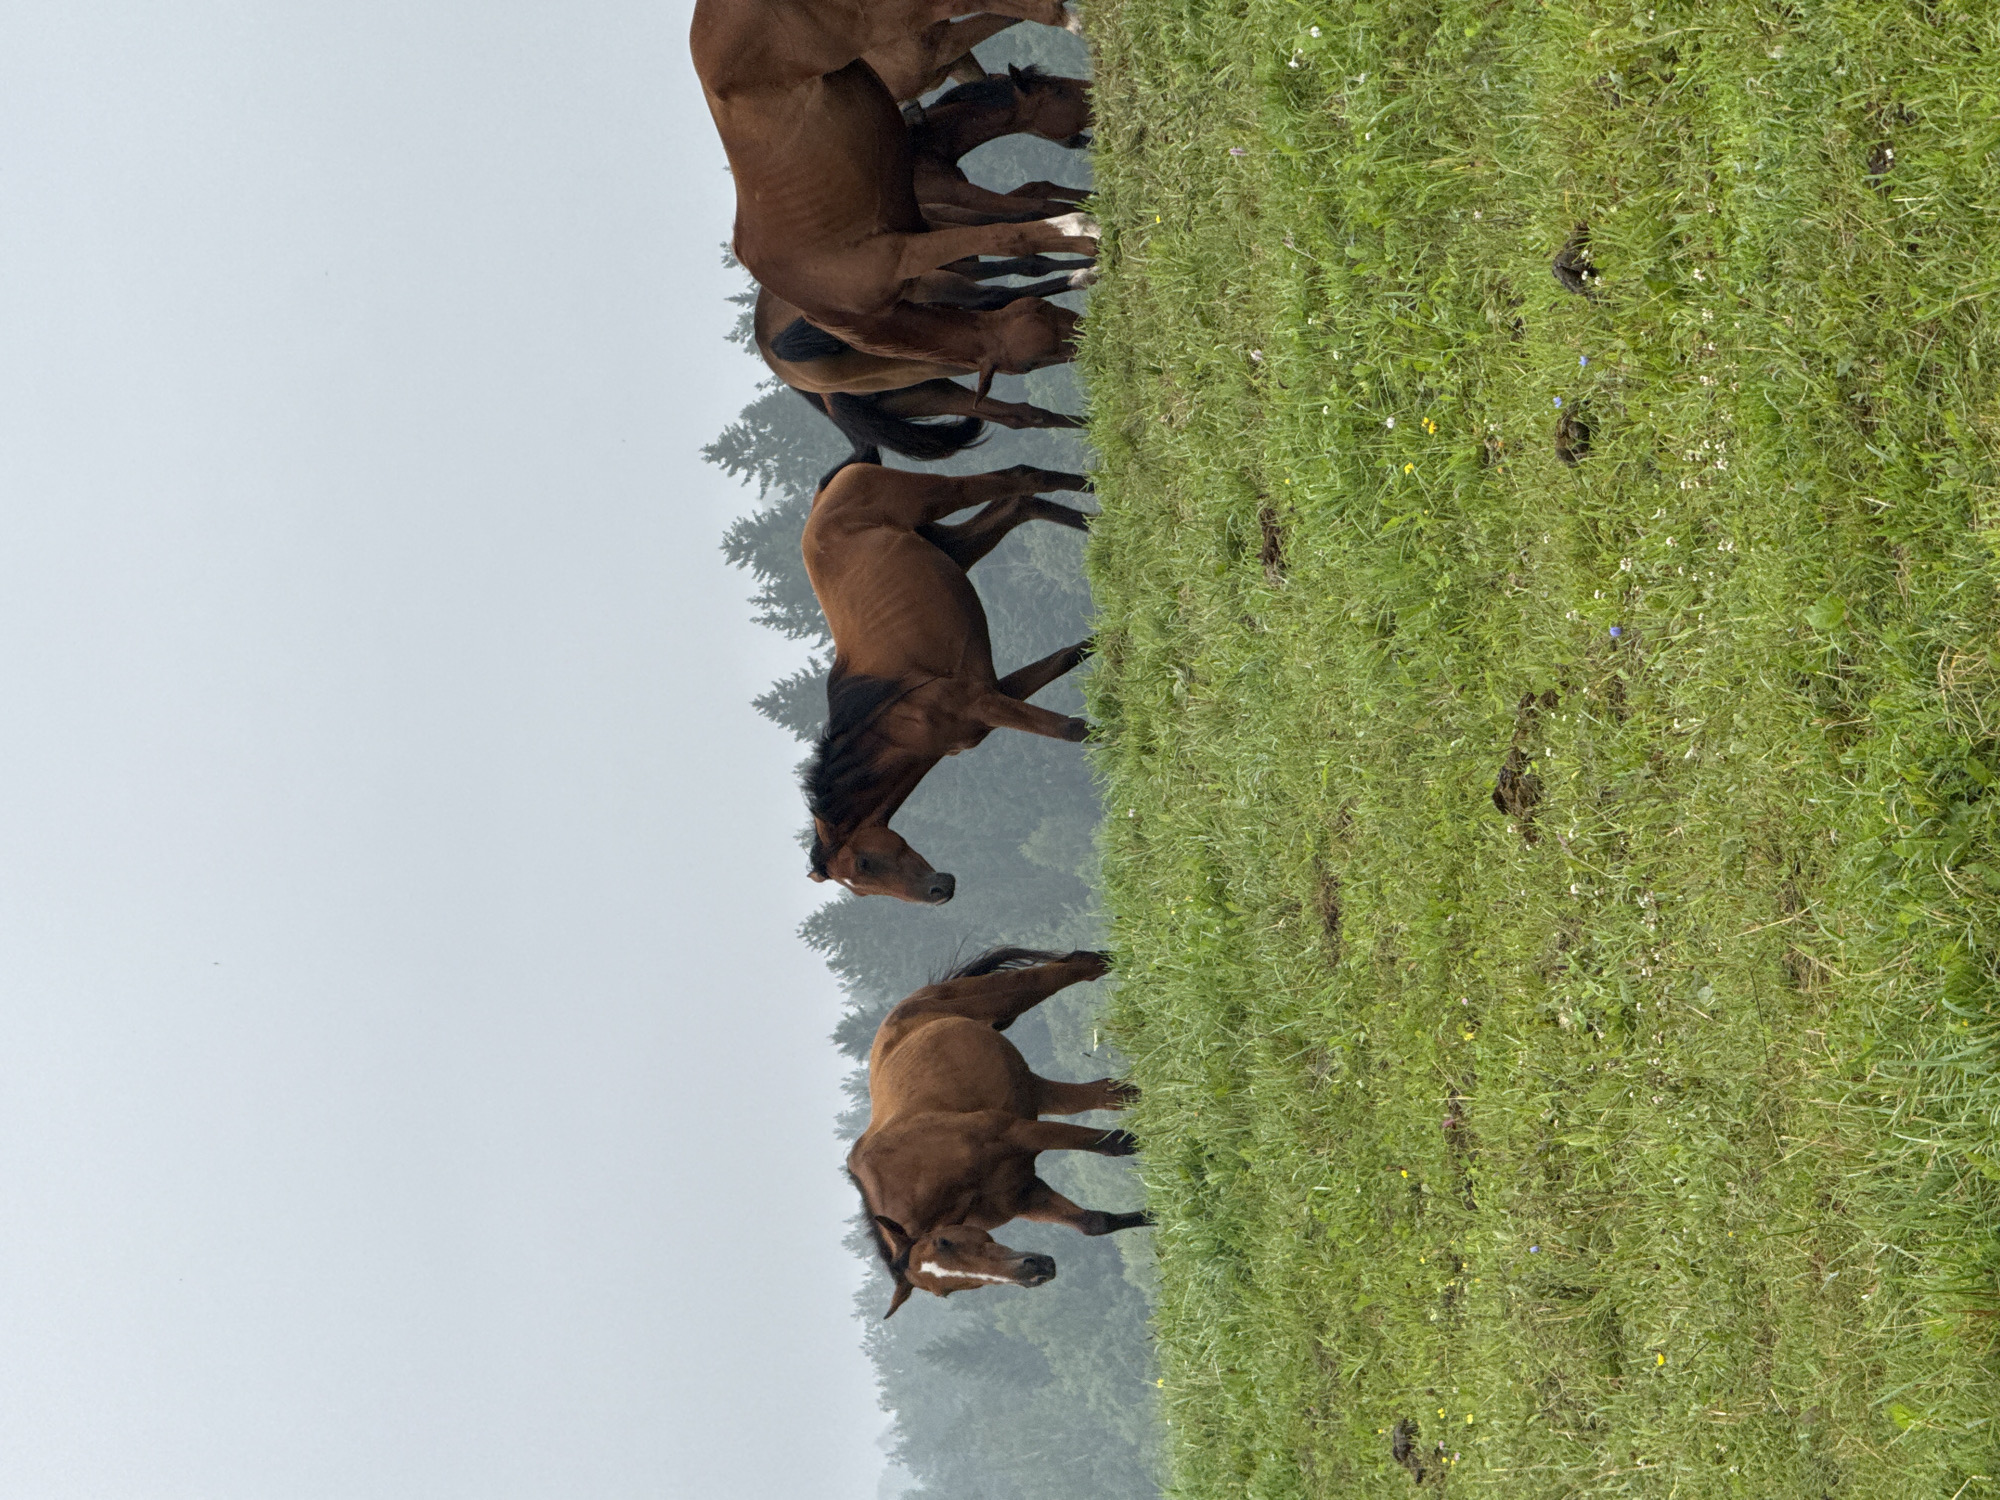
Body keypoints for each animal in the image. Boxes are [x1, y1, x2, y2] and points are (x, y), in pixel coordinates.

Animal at [802, 461, 1093, 902]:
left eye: (864, 864)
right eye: (863, 890)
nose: (938, 892)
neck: (896, 721)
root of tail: (830, 488)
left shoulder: (981, 701)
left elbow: (1072, 730)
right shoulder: (995, 693)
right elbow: (1067, 657)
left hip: (935, 497)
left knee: (1022, 478)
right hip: (955, 547)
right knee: (1017, 504)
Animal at [848, 947, 1148, 1317]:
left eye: (944, 1241)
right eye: (945, 1291)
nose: (1034, 1271)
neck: (922, 1169)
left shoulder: (1020, 1132)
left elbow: (1113, 1145)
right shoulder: (1024, 1194)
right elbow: (1095, 1223)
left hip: (1013, 995)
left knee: (1080, 965)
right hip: (1036, 1089)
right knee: (1109, 1092)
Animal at [910, 66, 1093, 224]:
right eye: (1059, 91)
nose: (1093, 85)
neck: (924, 147)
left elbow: (1039, 188)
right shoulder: (962, 194)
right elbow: (1048, 206)